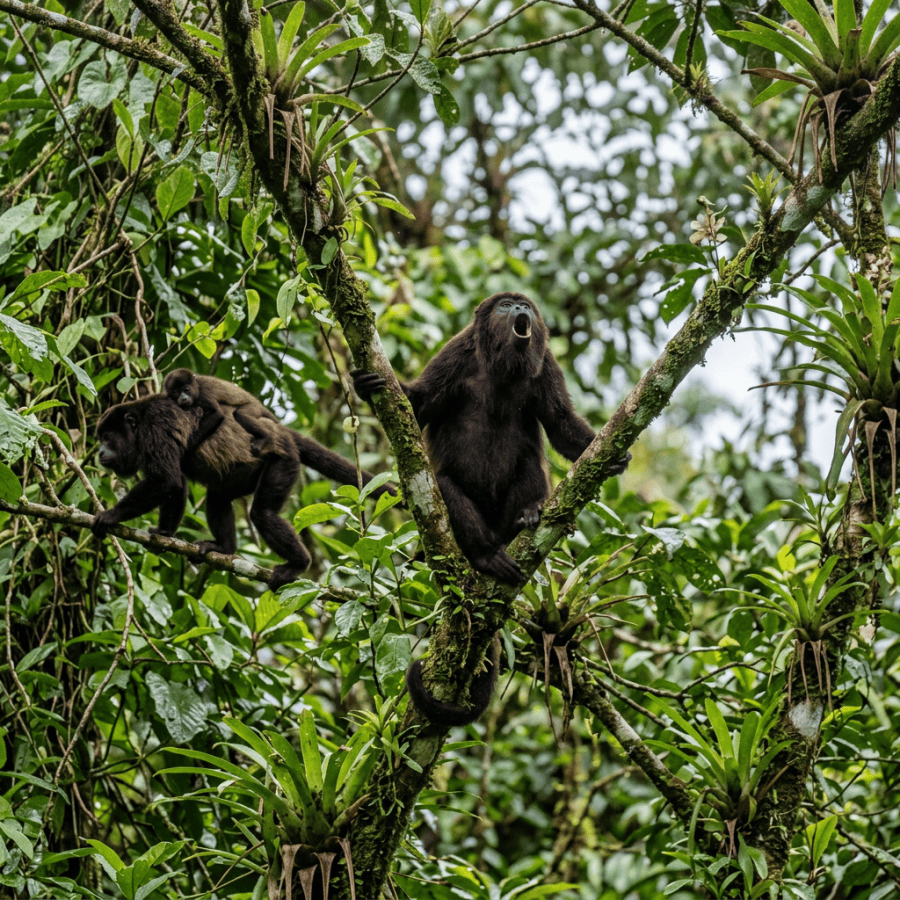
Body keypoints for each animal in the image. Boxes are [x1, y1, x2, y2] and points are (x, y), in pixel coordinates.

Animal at [92, 393, 395, 589]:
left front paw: (110, 516)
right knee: (217, 497)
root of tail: (282, 432)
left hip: (283, 460)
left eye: (107, 437)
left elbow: (167, 480)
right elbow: (176, 483)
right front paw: (165, 533)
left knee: (262, 513)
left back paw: (298, 563)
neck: (140, 422)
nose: (99, 452)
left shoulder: (156, 427)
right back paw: (224, 548)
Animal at [163, 368, 292, 459]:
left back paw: (264, 437)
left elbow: (217, 413)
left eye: (186, 389)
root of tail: (258, 402)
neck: (196, 387)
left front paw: (188, 447)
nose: (183, 398)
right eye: (176, 393)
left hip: (254, 407)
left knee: (240, 414)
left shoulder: (203, 395)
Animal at [354, 292, 629, 584]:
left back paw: (528, 513)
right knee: (443, 485)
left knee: (528, 463)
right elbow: (419, 403)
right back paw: (486, 555)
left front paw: (615, 459)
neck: (504, 366)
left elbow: (560, 421)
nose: (519, 308)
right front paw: (364, 386)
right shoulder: (456, 351)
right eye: (505, 306)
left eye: (525, 305)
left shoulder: (546, 362)